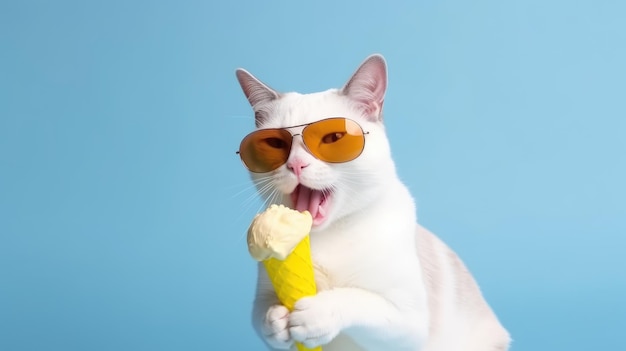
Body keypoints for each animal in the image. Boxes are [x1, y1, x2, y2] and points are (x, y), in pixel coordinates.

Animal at [236, 53, 510, 350]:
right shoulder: (262, 300)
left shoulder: (407, 321)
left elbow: (355, 299)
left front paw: (314, 313)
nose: (296, 164)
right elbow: (263, 317)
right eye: (275, 144)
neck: (326, 236)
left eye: (333, 139)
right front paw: (277, 319)